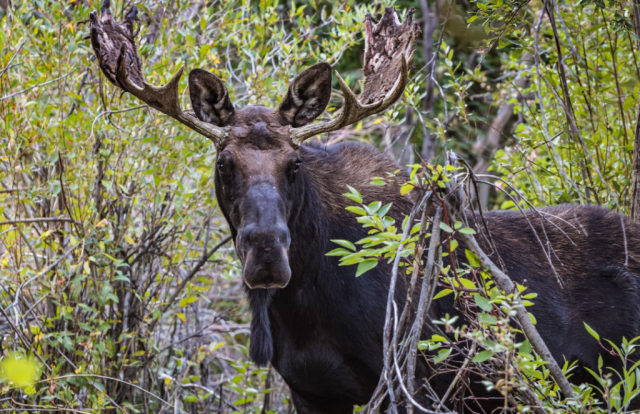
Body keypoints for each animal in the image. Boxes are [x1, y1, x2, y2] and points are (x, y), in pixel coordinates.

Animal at [89, 1, 640, 412]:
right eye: (225, 163)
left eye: (294, 164)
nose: (266, 254)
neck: (304, 307)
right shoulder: (310, 391)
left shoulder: (412, 381)